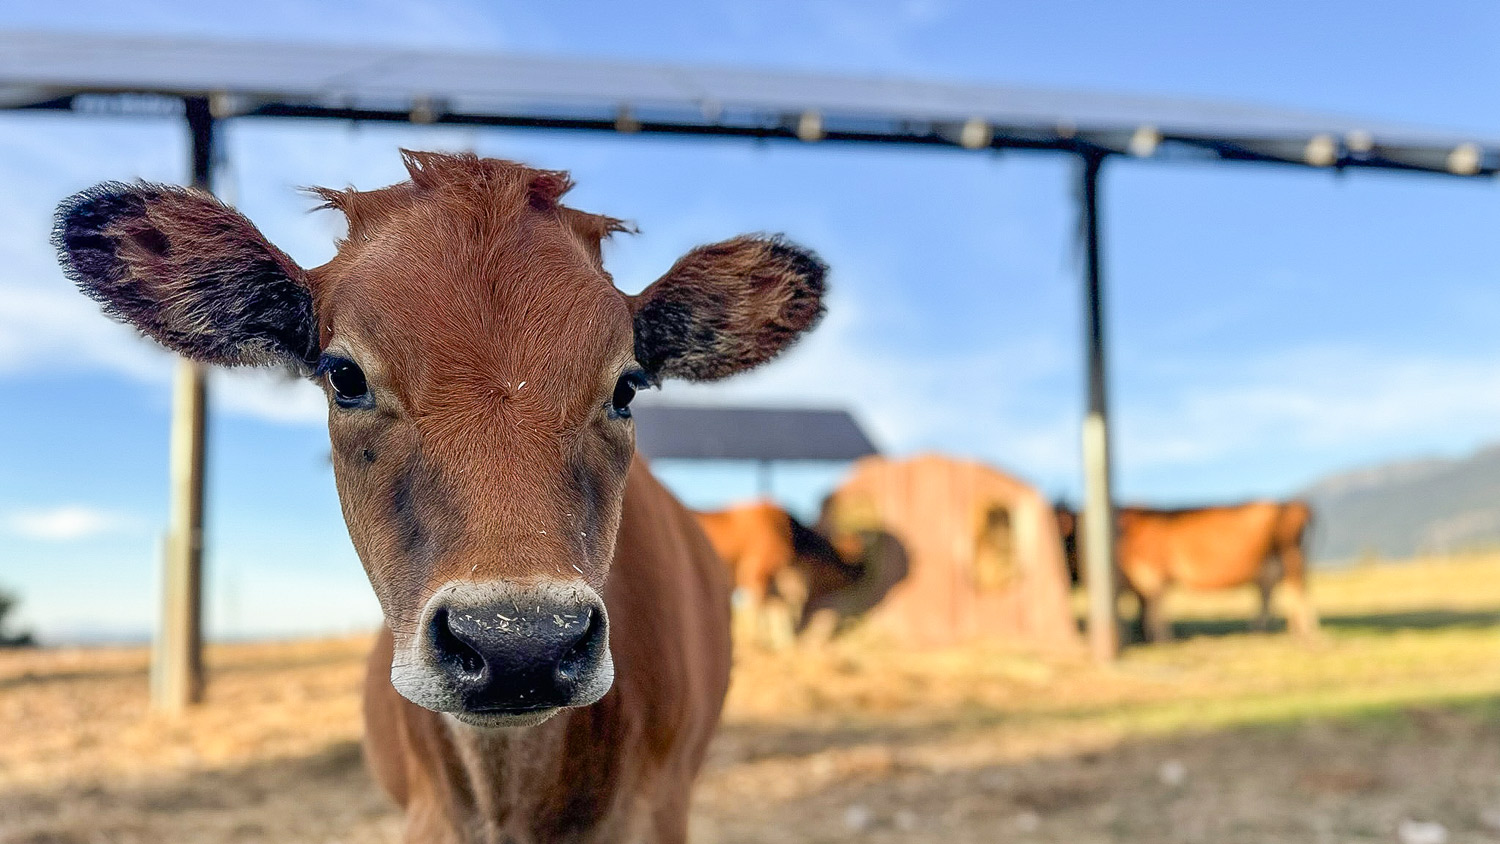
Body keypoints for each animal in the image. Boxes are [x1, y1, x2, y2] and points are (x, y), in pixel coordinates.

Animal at [694, 501, 862, 648]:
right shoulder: (759, 570)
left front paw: (783, 644)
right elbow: (760, 608)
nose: (860, 570)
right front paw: (755, 642)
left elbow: (778, 611)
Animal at [1057, 501, 1318, 642]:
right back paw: (1267, 631)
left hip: (1291, 556)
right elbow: (1148, 608)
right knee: (1270, 593)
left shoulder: (1152, 571)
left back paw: (1307, 633)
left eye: (1067, 535)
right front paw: (1150, 636)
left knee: (1296, 591)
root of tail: (1296, 506)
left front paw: (1161, 639)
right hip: (1272, 564)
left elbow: (1155, 608)